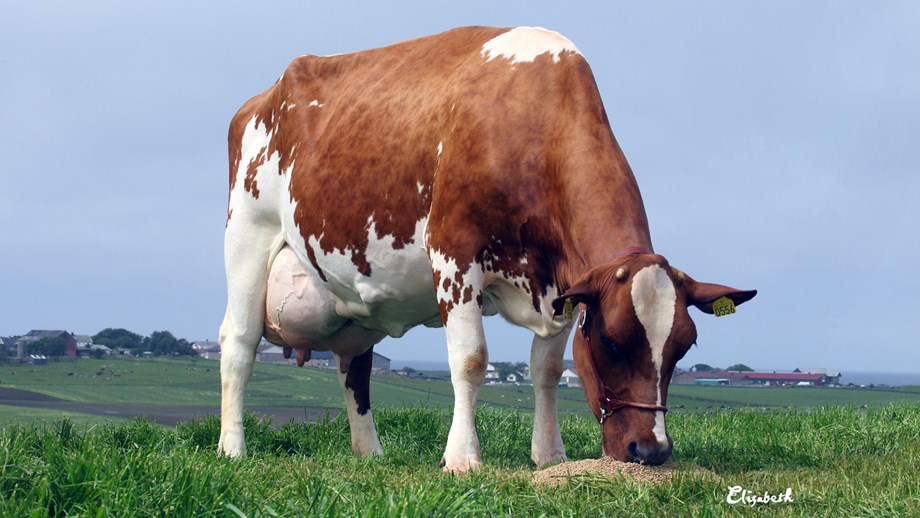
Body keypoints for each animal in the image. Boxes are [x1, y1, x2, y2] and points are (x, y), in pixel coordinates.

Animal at [221, 26, 756, 474]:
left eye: (683, 346)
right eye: (610, 341)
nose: (651, 450)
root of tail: (262, 97)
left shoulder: (562, 284)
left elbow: (546, 369)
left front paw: (550, 455)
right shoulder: (453, 251)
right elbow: (471, 359)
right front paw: (462, 459)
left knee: (355, 363)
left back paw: (370, 453)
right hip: (246, 235)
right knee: (239, 342)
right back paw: (232, 448)